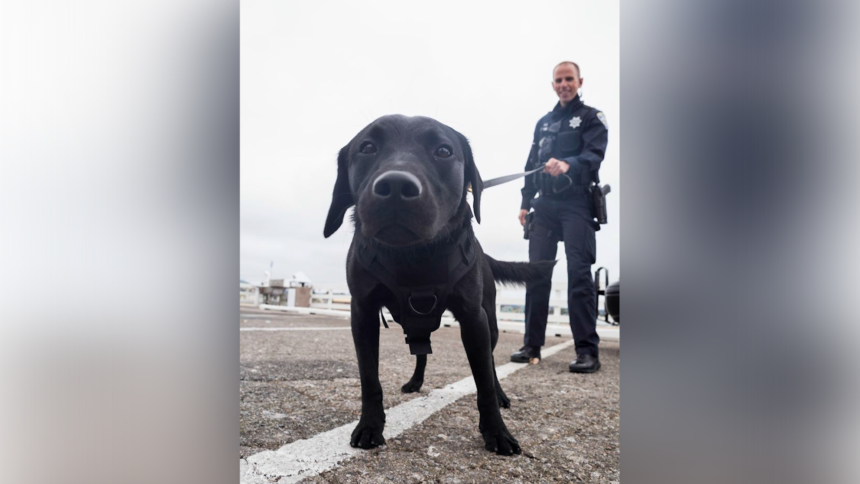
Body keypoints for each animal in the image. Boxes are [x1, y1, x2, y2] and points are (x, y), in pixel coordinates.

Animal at [324, 115, 556, 456]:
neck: (414, 256)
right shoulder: (363, 312)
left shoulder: (474, 318)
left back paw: (500, 394)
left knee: (490, 363)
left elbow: (484, 381)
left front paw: (497, 432)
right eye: (367, 147)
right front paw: (369, 426)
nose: (396, 187)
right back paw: (415, 382)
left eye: (444, 151)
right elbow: (369, 378)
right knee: (420, 350)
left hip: (491, 321)